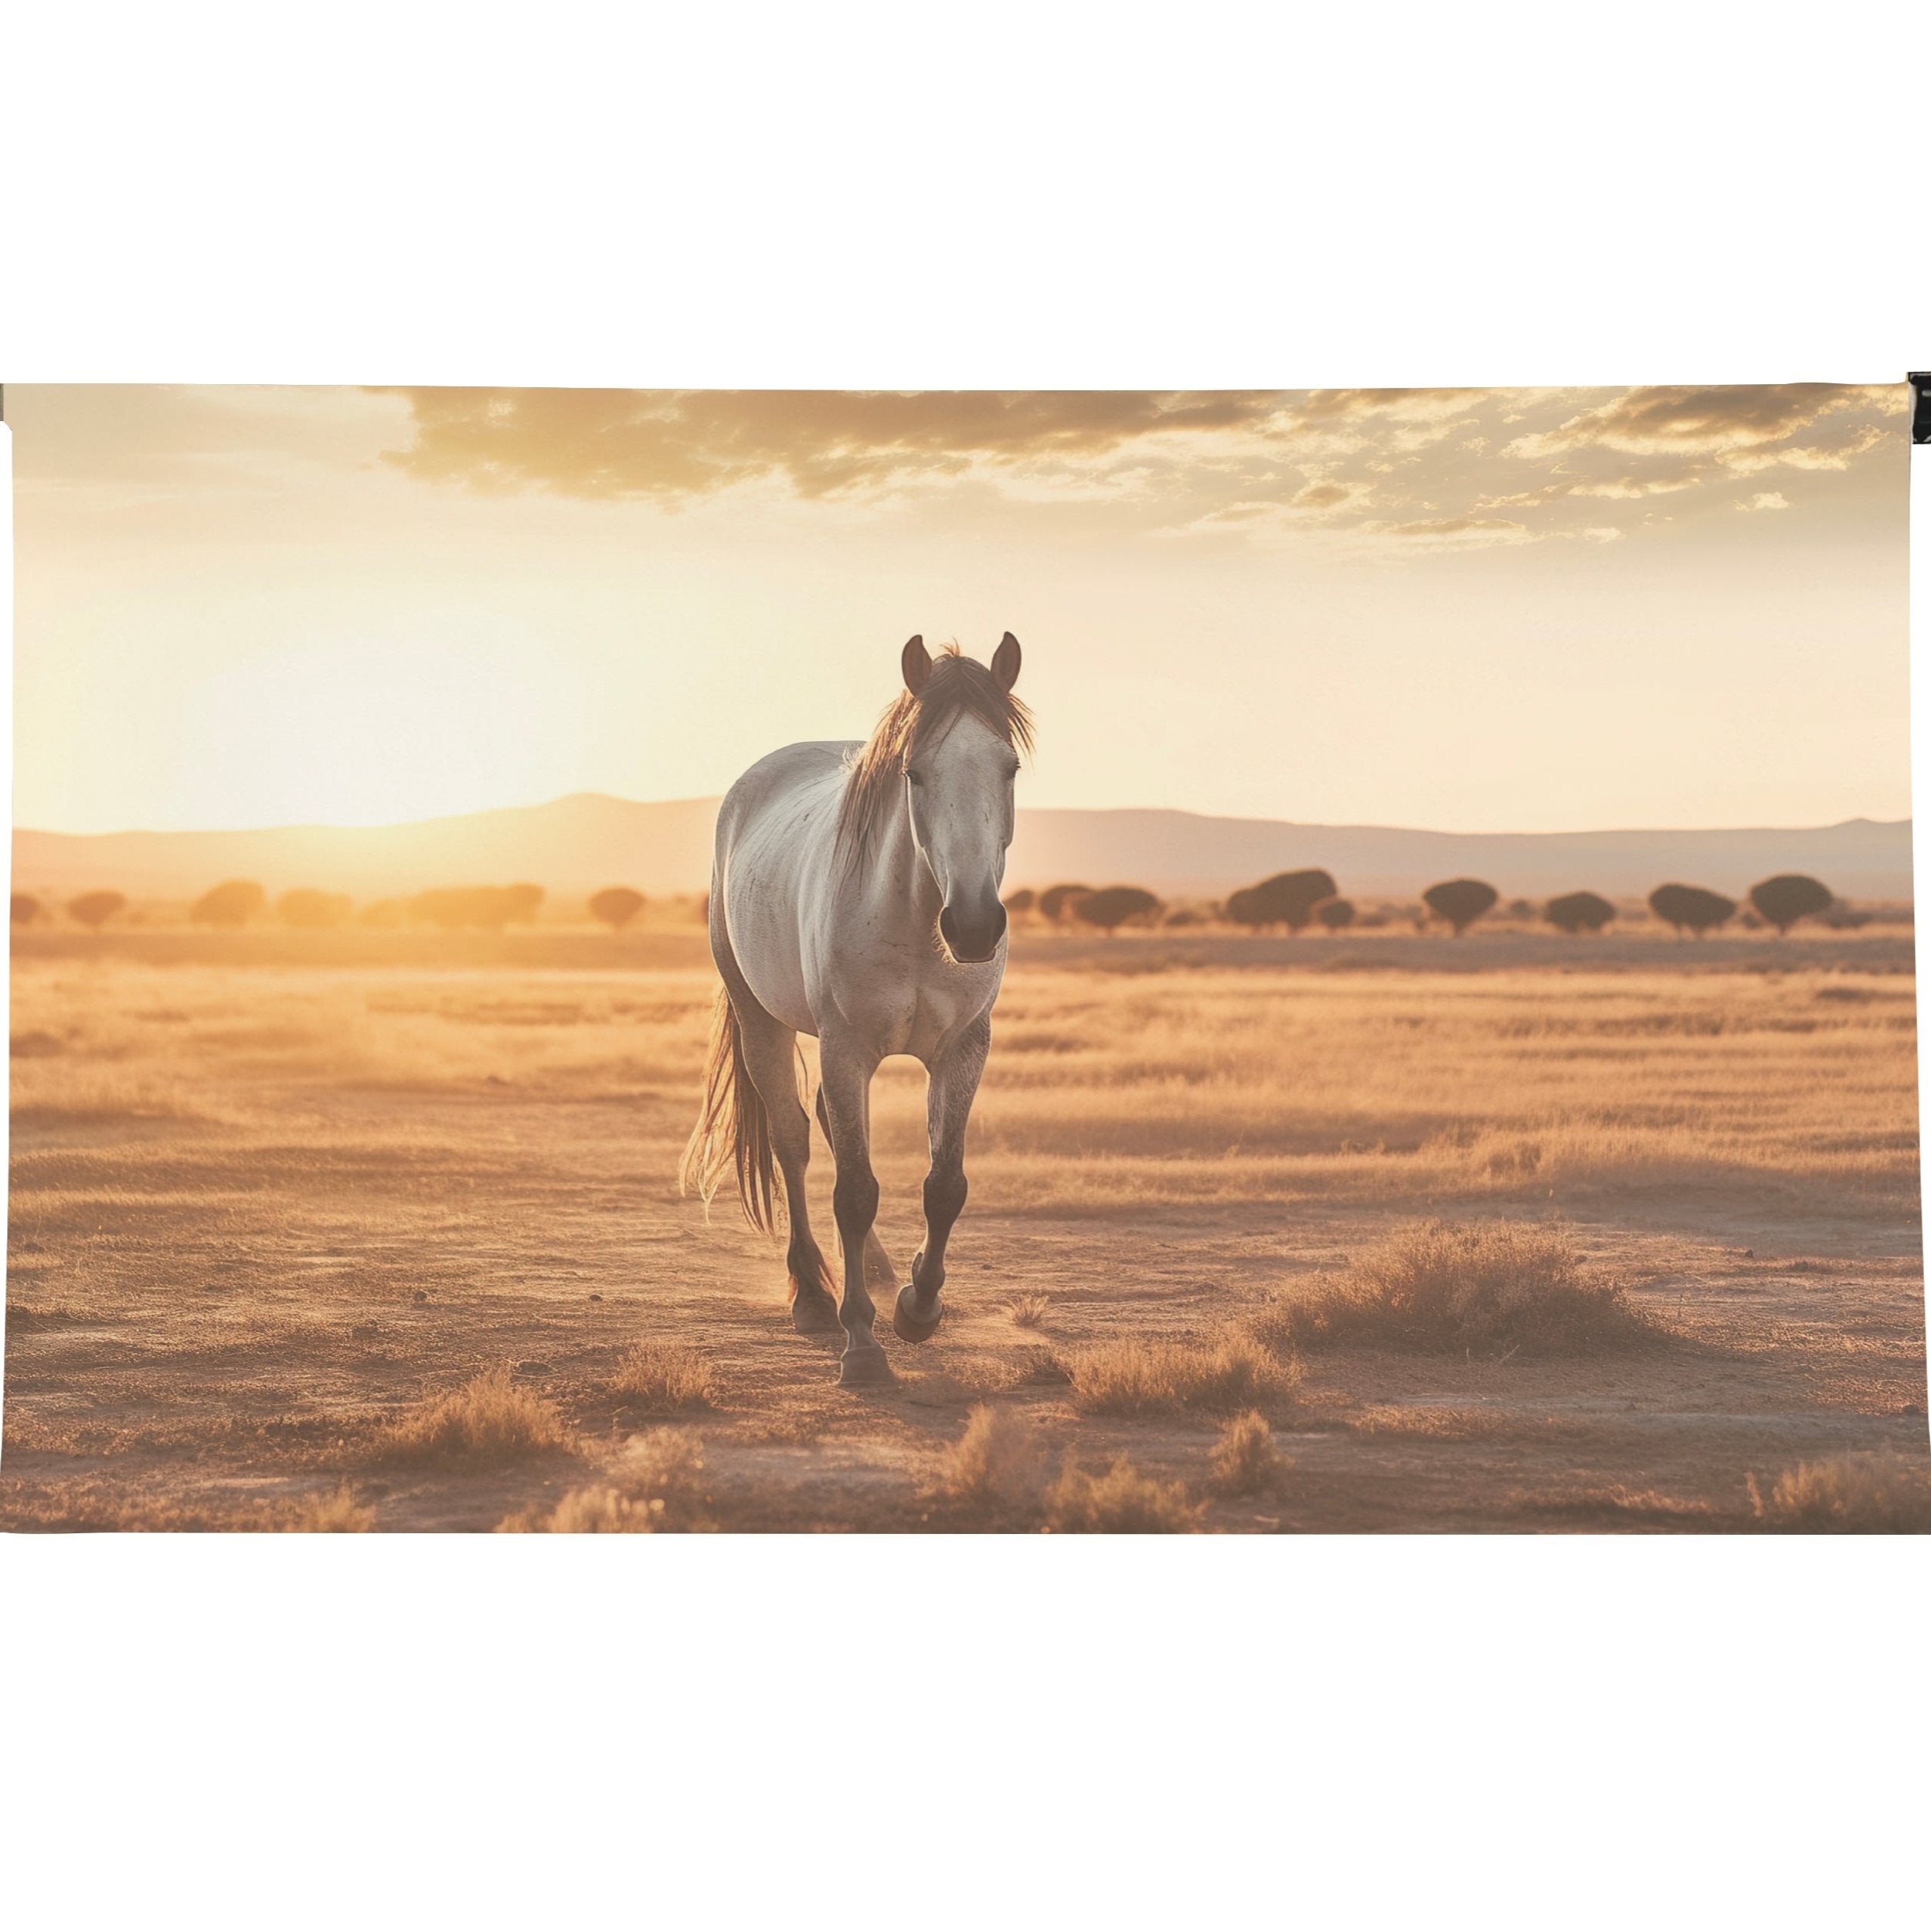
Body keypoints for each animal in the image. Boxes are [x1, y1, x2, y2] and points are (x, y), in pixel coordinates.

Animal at [683, 641, 1035, 1383]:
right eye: (914, 773)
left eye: (1009, 768)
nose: (973, 926)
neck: (914, 922)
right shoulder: (845, 1048)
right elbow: (852, 1191)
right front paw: (862, 1342)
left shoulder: (963, 1049)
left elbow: (943, 1186)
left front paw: (917, 1307)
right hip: (761, 1021)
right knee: (793, 1140)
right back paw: (814, 1295)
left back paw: (873, 1269)